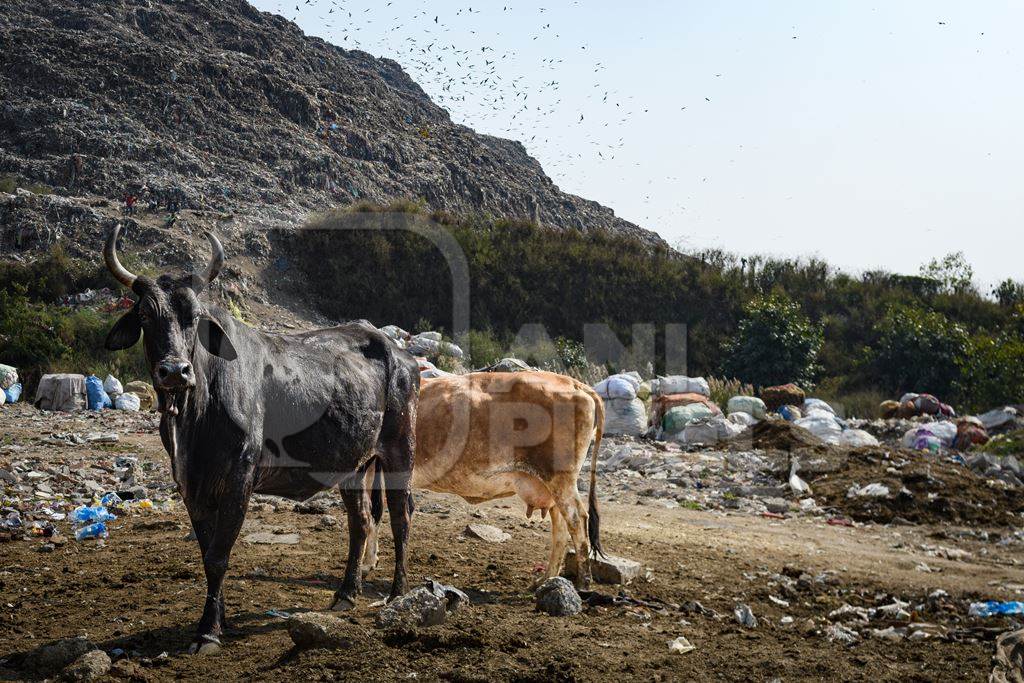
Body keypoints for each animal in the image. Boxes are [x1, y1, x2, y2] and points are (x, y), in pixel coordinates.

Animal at [102, 227, 419, 655]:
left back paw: (398, 593)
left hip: (401, 451)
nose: (175, 371)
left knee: (401, 518)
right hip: (353, 465)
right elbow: (207, 554)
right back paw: (345, 594)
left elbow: (219, 555)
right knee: (362, 522)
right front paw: (215, 620)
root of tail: (397, 352)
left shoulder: (239, 479)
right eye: (146, 315)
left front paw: (208, 631)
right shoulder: (192, 487)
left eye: (194, 317)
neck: (195, 414)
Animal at [362, 370, 598, 585]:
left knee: (577, 519)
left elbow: (372, 512)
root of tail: (574, 383)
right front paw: (370, 561)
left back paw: (583, 582)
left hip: (560, 479)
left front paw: (366, 564)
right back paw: (547, 579)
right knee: (561, 527)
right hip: (551, 486)